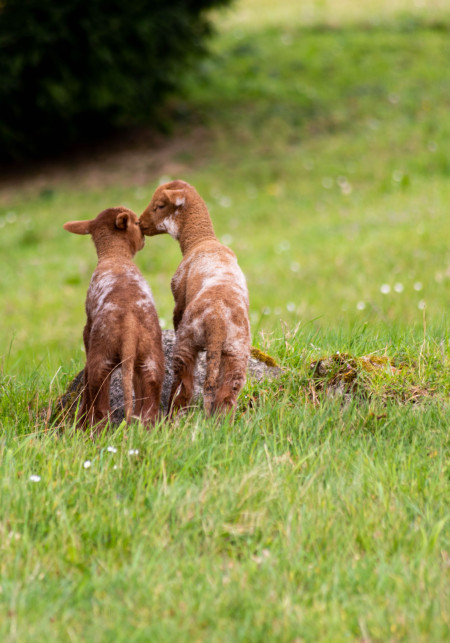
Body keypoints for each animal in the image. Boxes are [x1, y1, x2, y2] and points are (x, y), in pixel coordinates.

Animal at [65, 205, 165, 432]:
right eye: (137, 223)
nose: (144, 237)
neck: (115, 256)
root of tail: (129, 326)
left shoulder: (88, 327)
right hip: (151, 358)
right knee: (148, 409)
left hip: (101, 357)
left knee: (100, 406)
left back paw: (90, 431)